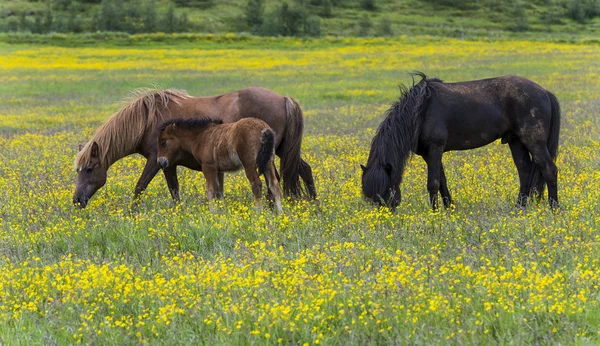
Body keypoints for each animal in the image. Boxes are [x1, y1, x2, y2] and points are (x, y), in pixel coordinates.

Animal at [73, 86, 316, 208]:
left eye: (89, 169)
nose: (77, 201)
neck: (147, 120)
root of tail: (283, 98)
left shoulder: (157, 160)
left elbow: (141, 186)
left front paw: (133, 213)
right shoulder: (168, 164)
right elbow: (174, 190)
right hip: (281, 150)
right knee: (303, 169)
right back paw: (314, 205)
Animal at [360, 72, 564, 211]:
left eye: (385, 192)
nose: (385, 218)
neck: (419, 111)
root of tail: (544, 92)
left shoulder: (435, 149)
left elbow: (433, 183)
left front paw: (434, 214)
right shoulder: (429, 154)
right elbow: (442, 181)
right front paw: (449, 209)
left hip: (533, 141)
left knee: (549, 169)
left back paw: (554, 209)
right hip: (516, 141)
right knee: (525, 171)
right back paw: (519, 208)